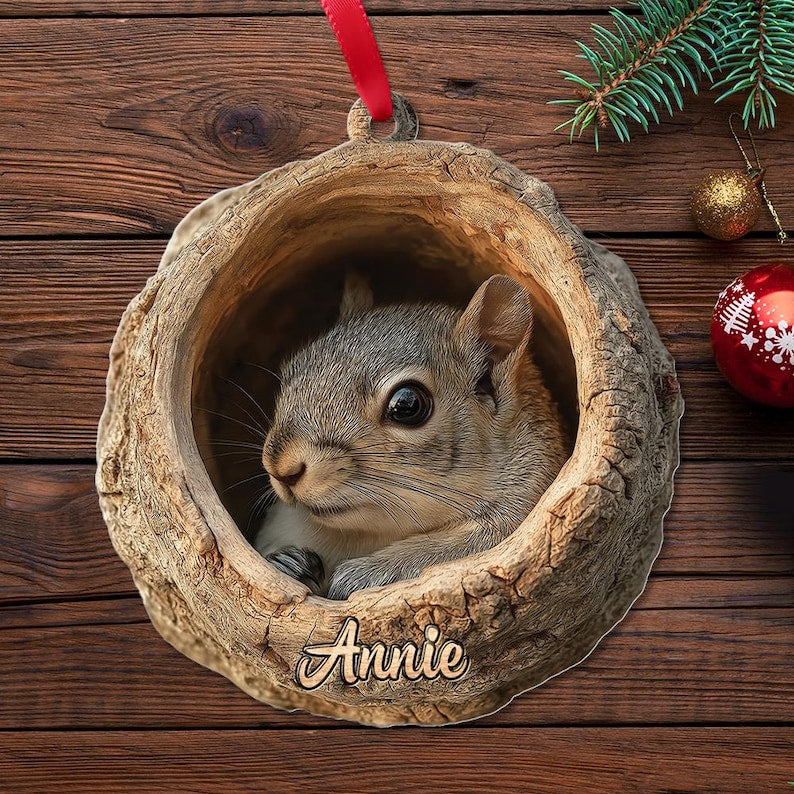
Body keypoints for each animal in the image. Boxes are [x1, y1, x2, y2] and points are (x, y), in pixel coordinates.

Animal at [253, 272, 567, 600]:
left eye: (406, 405)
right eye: (292, 367)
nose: (280, 468)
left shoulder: (520, 511)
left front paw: (363, 575)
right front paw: (289, 563)